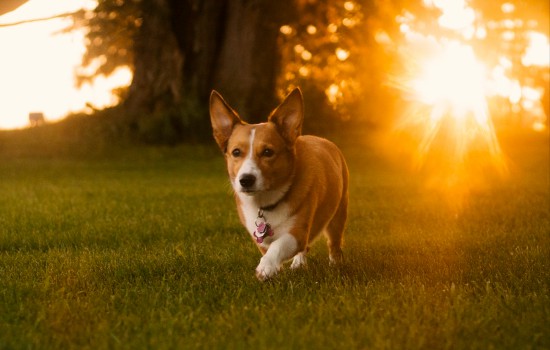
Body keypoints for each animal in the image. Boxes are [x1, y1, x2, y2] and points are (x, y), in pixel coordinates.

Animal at [211, 88, 350, 282]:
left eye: (268, 152)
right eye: (236, 152)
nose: (246, 180)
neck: (266, 203)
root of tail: (322, 139)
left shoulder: (297, 233)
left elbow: (278, 246)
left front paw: (266, 267)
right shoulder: (260, 238)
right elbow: (270, 248)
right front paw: (276, 269)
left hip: (338, 215)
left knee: (334, 243)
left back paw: (336, 264)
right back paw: (299, 264)